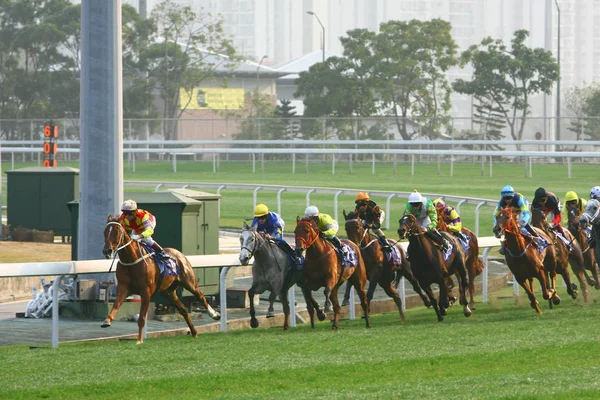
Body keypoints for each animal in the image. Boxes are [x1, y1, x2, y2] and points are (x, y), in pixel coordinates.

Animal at [102, 216, 221, 344]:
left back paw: (214, 314)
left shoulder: (146, 292)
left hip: (189, 282)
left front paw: (139, 340)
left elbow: (142, 318)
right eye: (105, 232)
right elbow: (116, 304)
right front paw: (107, 321)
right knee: (183, 309)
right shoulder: (123, 287)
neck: (131, 261)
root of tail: (179, 253)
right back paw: (194, 332)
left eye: (116, 232)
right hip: (168, 292)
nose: (107, 251)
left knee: (201, 296)